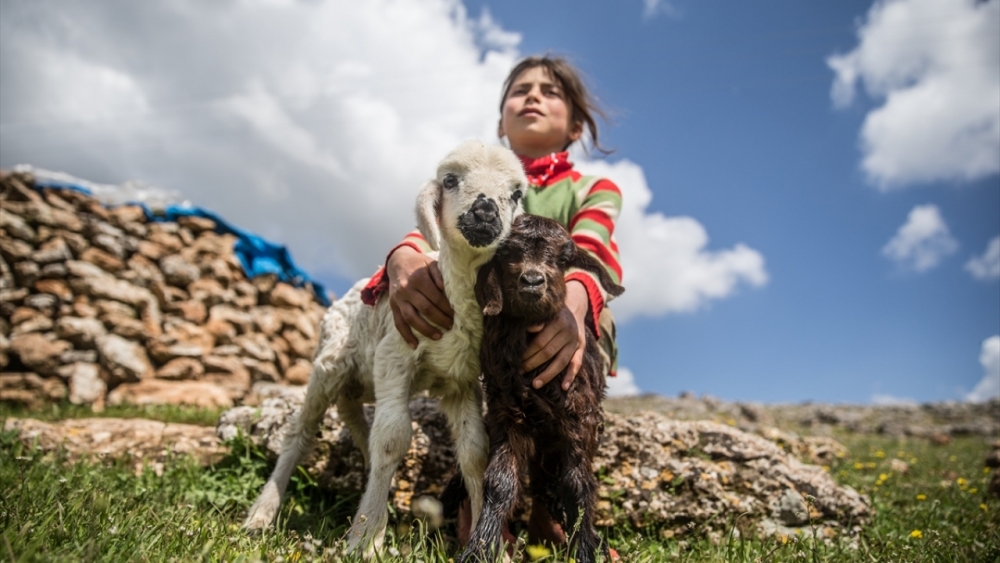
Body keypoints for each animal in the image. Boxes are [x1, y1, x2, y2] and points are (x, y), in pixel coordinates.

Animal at [243, 140, 528, 556]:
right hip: (329, 364)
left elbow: (474, 452)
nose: (486, 211)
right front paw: (363, 544)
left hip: (360, 373)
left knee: (355, 416)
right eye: (450, 180)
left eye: (516, 193)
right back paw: (262, 515)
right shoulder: (396, 355)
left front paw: (489, 548)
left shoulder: (462, 380)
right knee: (302, 432)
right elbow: (394, 439)